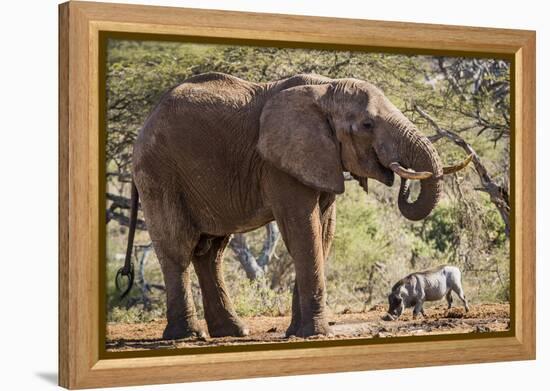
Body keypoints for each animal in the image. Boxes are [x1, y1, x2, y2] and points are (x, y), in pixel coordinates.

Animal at [117, 72, 474, 340]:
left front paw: (298, 332)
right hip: (159, 172)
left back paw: (234, 332)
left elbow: (323, 231)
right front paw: (315, 333)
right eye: (367, 125)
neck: (325, 88)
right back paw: (189, 336)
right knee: (178, 248)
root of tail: (143, 126)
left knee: (211, 252)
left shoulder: (321, 157)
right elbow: (303, 228)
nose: (399, 175)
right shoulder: (278, 163)